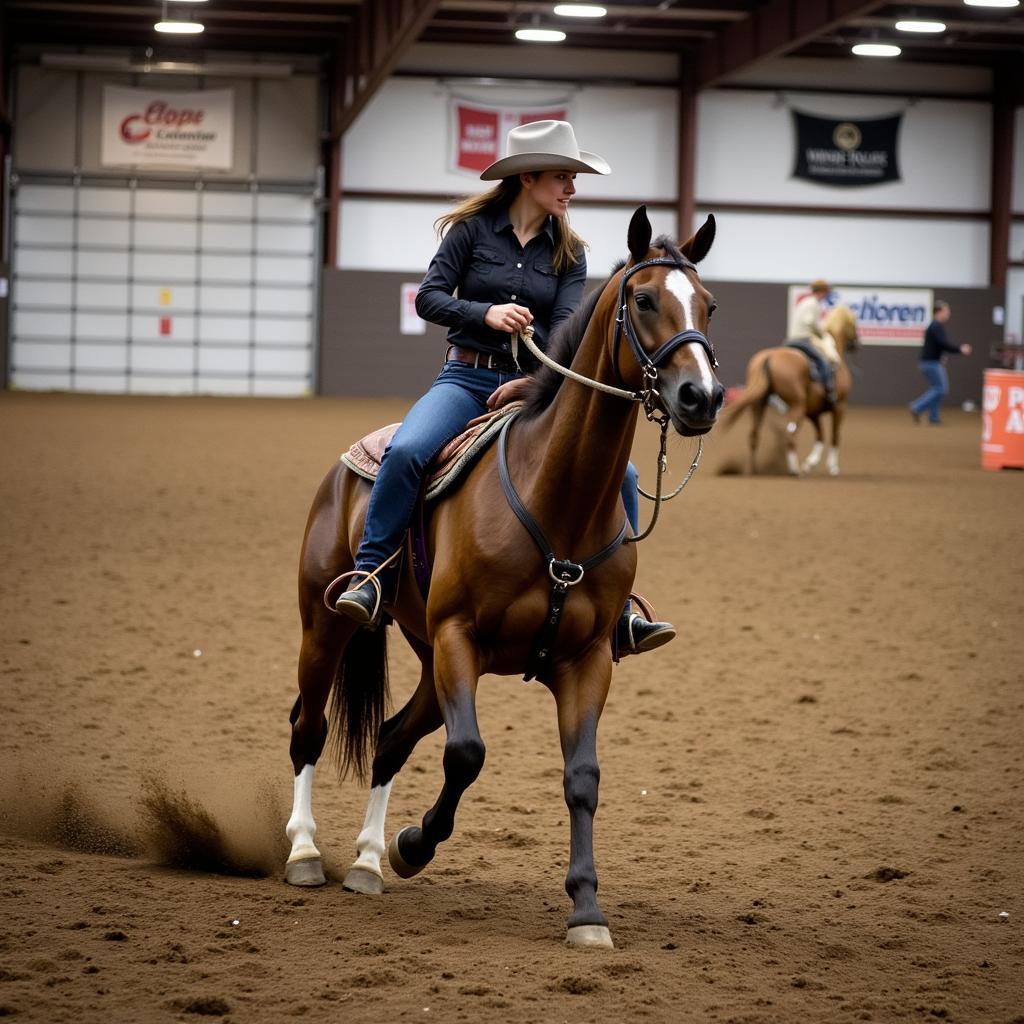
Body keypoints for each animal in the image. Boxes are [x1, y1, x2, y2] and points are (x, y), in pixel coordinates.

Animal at [284, 205, 724, 950]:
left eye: (710, 304)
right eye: (643, 300)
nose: (702, 395)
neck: (559, 500)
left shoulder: (584, 661)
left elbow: (582, 777)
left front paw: (587, 910)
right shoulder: (459, 638)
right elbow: (467, 754)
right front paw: (414, 844)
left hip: (427, 659)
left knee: (390, 738)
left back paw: (367, 862)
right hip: (326, 628)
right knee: (307, 727)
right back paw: (307, 852)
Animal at [724, 305, 860, 477]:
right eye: (853, 323)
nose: (856, 343)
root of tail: (769, 357)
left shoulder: (813, 413)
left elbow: (820, 436)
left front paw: (810, 464)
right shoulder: (839, 407)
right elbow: (835, 436)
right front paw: (833, 467)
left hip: (759, 404)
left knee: (754, 436)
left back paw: (751, 470)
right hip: (797, 407)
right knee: (789, 437)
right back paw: (795, 470)